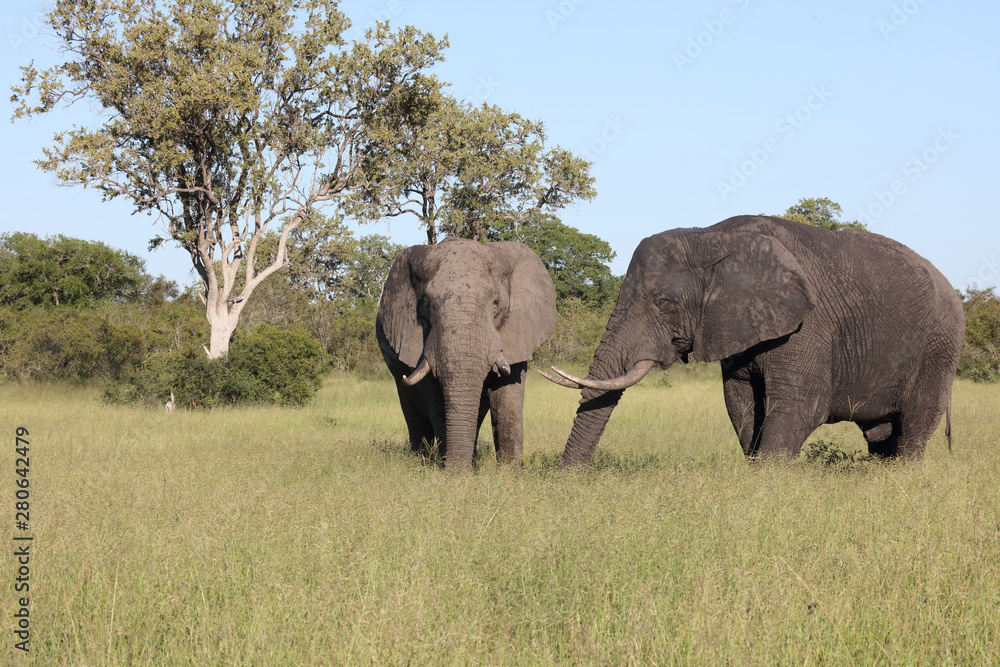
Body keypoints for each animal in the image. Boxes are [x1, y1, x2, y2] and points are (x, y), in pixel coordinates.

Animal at [377, 237, 557, 469]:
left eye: (496, 304)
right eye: (427, 306)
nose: (455, 471)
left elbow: (508, 395)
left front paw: (510, 473)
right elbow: (436, 400)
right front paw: (452, 471)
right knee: (412, 412)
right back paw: (421, 462)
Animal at [542, 216, 965, 465]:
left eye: (662, 302)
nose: (570, 479)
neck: (710, 238)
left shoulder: (809, 324)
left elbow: (800, 408)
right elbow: (742, 406)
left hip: (940, 345)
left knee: (914, 427)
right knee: (881, 436)